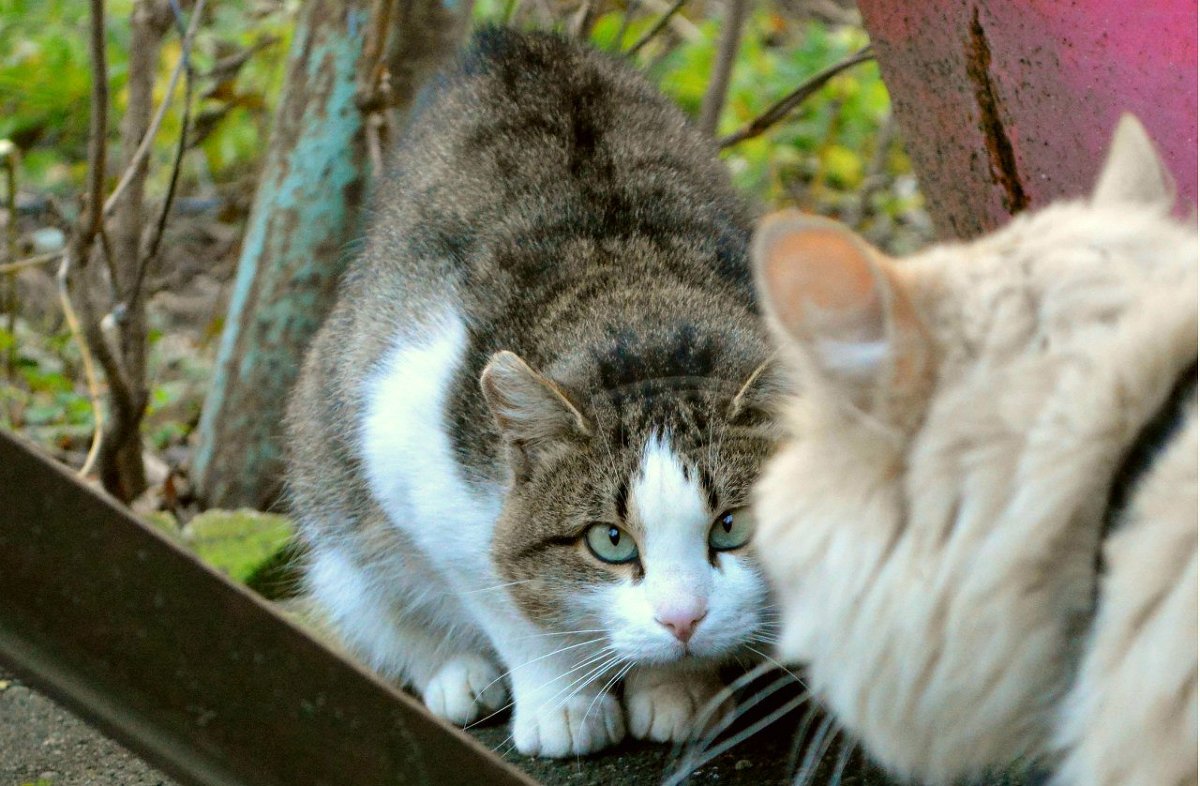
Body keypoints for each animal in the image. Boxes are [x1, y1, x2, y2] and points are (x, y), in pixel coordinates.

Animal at [288, 27, 777, 758]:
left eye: (731, 527)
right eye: (611, 542)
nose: (683, 619)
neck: (636, 309)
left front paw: (679, 690)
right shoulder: (408, 444)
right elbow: (504, 599)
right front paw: (564, 707)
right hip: (330, 472)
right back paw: (456, 674)